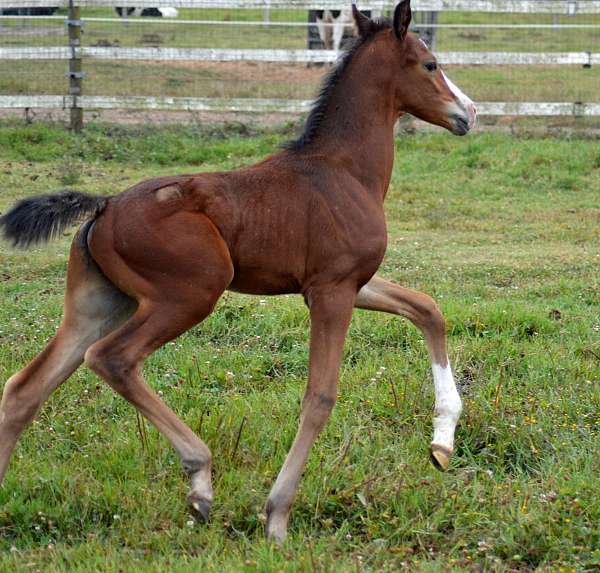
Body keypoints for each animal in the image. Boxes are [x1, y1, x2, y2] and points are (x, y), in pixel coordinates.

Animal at [1, 2, 478, 544]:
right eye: (431, 64)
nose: (468, 113)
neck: (343, 170)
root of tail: (103, 207)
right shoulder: (332, 291)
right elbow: (319, 396)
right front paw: (277, 516)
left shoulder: (350, 283)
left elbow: (428, 309)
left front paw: (442, 442)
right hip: (189, 295)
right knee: (111, 359)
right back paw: (200, 480)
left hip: (99, 304)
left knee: (25, 388)